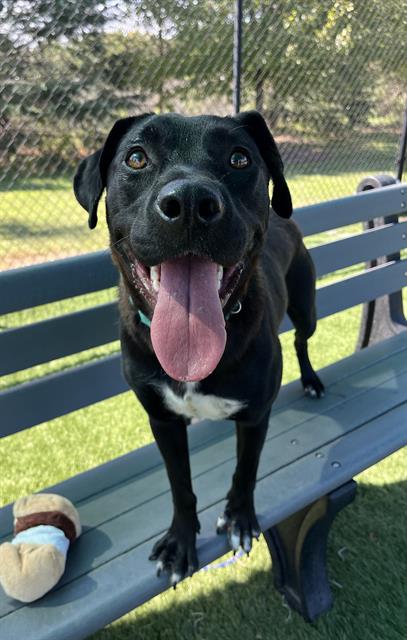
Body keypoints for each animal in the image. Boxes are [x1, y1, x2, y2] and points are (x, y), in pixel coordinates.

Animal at [72, 110, 322, 584]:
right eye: (136, 157)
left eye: (240, 158)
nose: (189, 202)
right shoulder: (163, 421)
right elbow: (181, 487)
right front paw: (180, 542)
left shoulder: (255, 417)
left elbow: (245, 472)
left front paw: (240, 519)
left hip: (306, 308)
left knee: (302, 340)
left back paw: (312, 381)